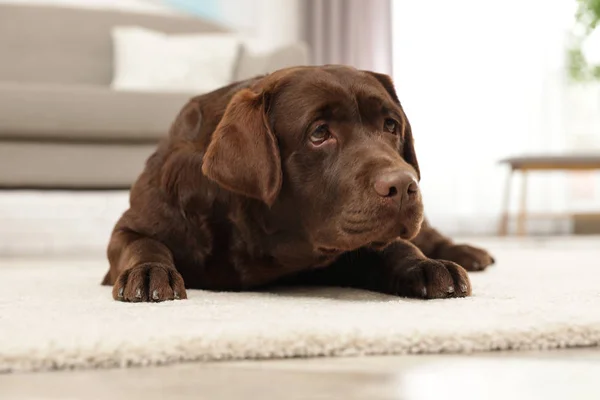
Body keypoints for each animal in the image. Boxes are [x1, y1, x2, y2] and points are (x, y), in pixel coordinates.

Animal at [103, 65, 494, 302]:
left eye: (390, 125)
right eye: (319, 133)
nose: (403, 185)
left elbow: (397, 246)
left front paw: (426, 266)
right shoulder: (136, 225)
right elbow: (141, 244)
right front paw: (149, 272)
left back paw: (465, 252)